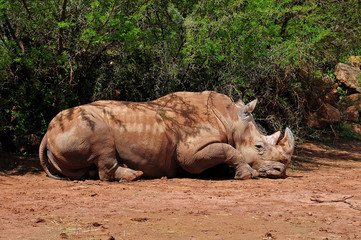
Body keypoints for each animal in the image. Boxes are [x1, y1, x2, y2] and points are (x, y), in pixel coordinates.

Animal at [39, 91, 294, 181]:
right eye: (259, 146)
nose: (281, 170)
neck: (230, 118)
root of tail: (47, 134)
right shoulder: (190, 152)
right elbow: (228, 150)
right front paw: (247, 175)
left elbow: (226, 152)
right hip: (82, 125)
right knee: (102, 144)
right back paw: (133, 176)